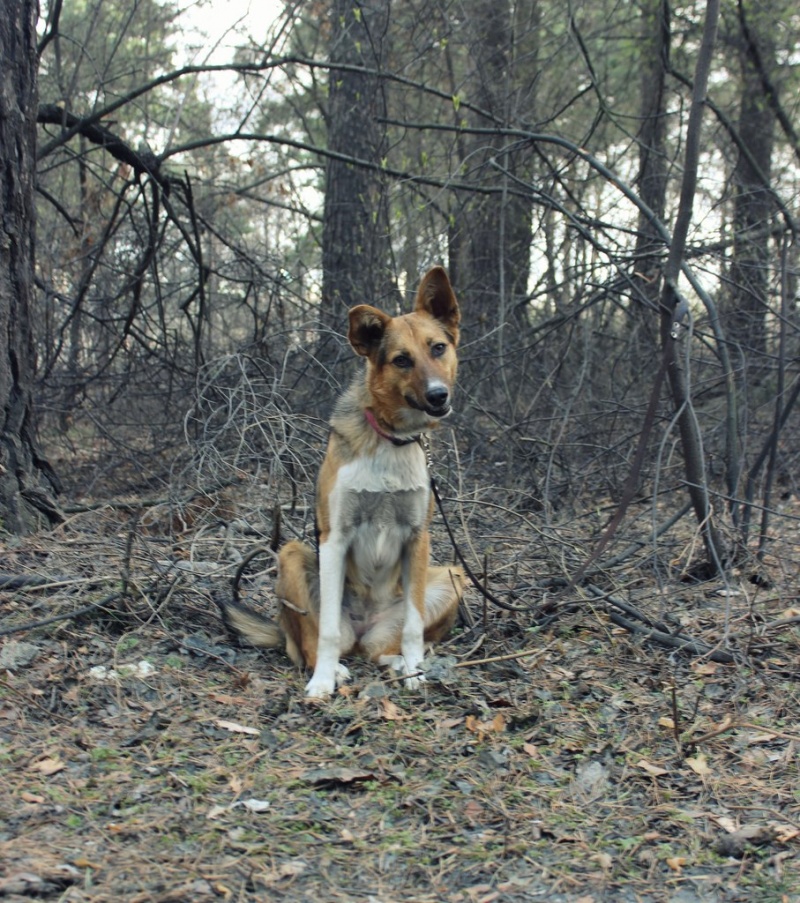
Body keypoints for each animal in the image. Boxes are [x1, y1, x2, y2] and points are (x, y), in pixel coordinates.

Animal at [222, 264, 466, 704]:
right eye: (401, 360)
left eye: (438, 348)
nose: (439, 396)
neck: (390, 439)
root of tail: (366, 627)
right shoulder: (334, 538)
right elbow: (328, 634)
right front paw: (321, 682)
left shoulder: (418, 539)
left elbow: (413, 627)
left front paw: (415, 671)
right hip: (292, 555)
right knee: (312, 645)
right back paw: (331, 668)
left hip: (451, 577)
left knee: (378, 649)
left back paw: (401, 662)